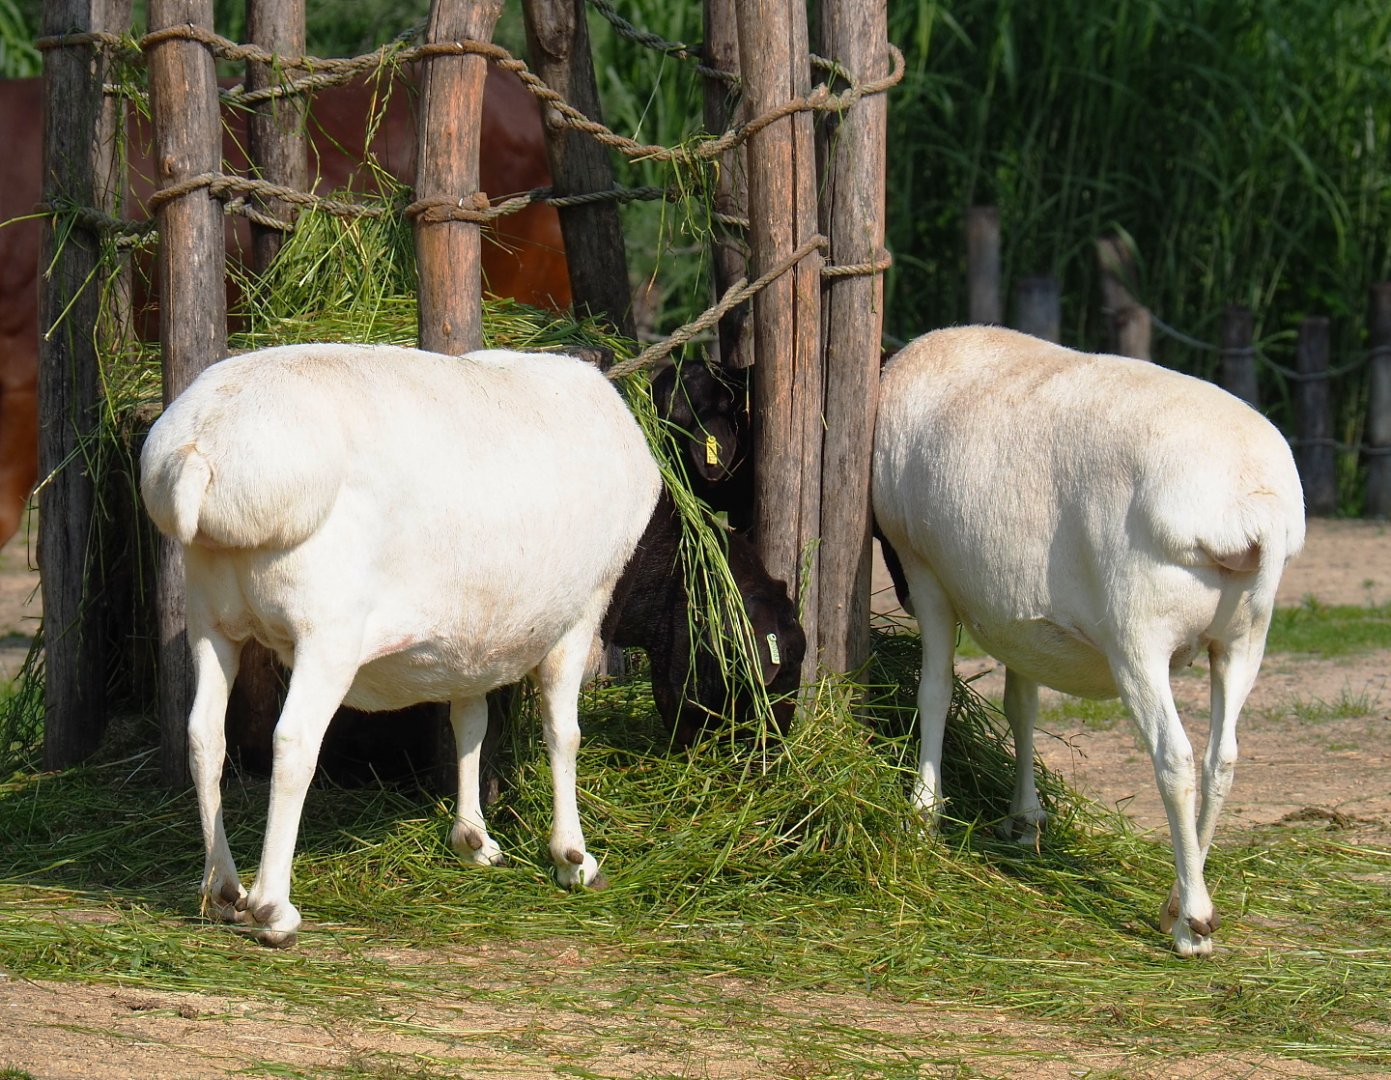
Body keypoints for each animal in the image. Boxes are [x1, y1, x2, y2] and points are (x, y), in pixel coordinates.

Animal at [140, 343, 661, 946]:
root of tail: (199, 451)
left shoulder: (470, 636)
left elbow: (469, 722)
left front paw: (473, 839)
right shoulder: (582, 611)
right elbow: (563, 733)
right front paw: (572, 858)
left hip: (211, 614)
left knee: (204, 736)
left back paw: (223, 889)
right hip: (327, 629)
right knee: (293, 742)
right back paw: (274, 910)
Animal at [871, 326, 1305, 957]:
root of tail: (1251, 506)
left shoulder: (922, 570)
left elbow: (935, 694)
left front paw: (923, 813)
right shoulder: (1019, 621)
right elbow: (1021, 706)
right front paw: (1025, 817)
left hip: (1138, 633)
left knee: (1173, 756)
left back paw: (1192, 922)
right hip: (1244, 636)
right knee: (1220, 758)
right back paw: (1180, 900)